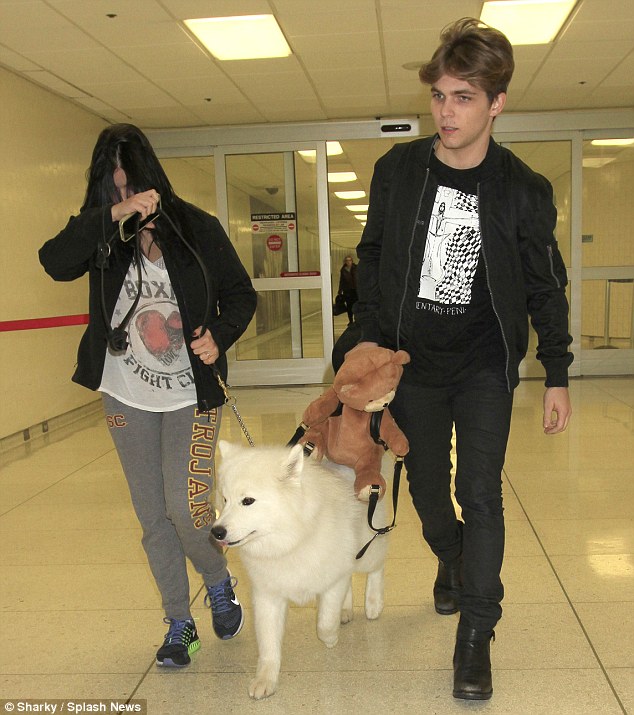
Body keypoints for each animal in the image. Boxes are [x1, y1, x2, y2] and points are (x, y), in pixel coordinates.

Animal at [211, 440, 386, 704]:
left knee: (376, 566)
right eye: (224, 499)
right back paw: (346, 611)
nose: (217, 531)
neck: (290, 541)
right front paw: (266, 681)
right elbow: (268, 645)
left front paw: (331, 639)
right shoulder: (267, 596)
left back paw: (373, 604)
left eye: (248, 501)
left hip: (366, 550)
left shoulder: (331, 582)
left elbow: (324, 623)